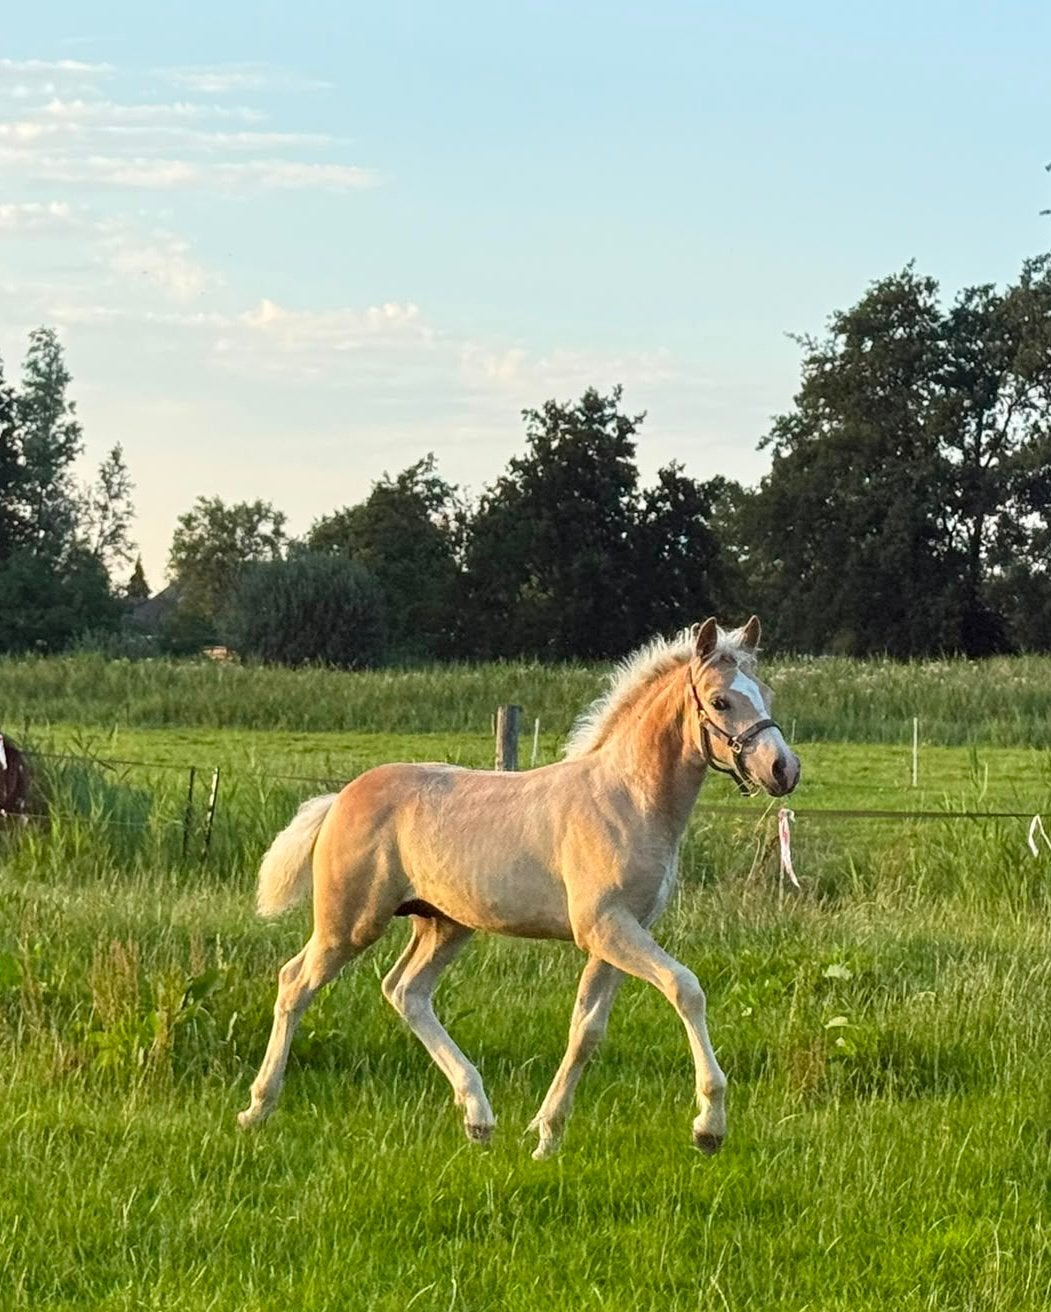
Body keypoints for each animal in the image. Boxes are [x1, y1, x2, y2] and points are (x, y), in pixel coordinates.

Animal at [238, 616, 800, 1157]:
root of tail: (339, 798)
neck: (625, 800)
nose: (784, 769)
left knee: (406, 991)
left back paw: (478, 1117)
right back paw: (257, 1108)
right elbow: (686, 988)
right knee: (295, 982)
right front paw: (708, 1127)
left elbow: (586, 1030)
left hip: (444, 924)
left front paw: (547, 1136)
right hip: (350, 922)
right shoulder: (605, 927)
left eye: (767, 693)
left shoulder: (618, 934)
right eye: (721, 700)